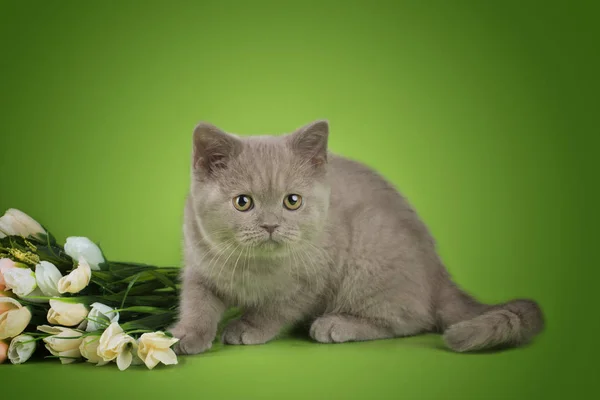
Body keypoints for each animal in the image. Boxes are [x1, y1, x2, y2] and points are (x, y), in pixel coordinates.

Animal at [170, 119, 544, 354]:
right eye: (242, 202)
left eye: (292, 201)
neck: (253, 266)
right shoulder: (198, 264)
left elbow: (275, 309)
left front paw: (249, 327)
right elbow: (197, 303)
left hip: (370, 250)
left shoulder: (312, 279)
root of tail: (439, 274)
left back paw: (335, 324)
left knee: (411, 319)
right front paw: (185, 335)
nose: (271, 225)